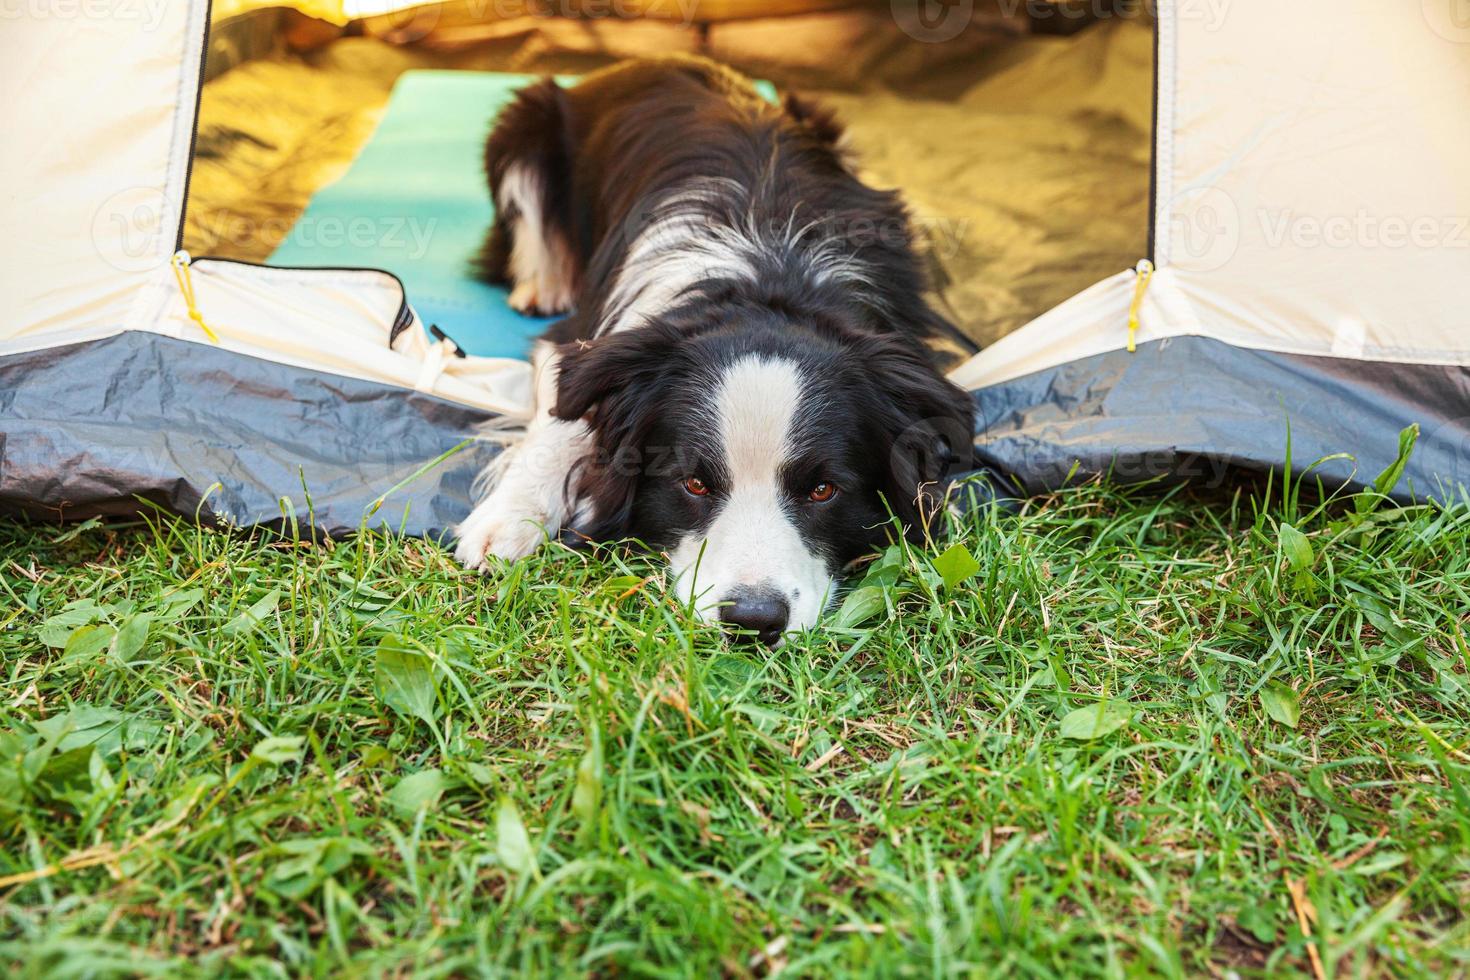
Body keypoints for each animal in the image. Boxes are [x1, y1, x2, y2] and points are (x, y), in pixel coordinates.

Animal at [452, 55, 970, 643]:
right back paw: (543, 285)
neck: (769, 275)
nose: (753, 621)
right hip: (523, 125)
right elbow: (563, 418)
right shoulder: (578, 340)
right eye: (694, 484)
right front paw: (506, 520)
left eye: (823, 490)